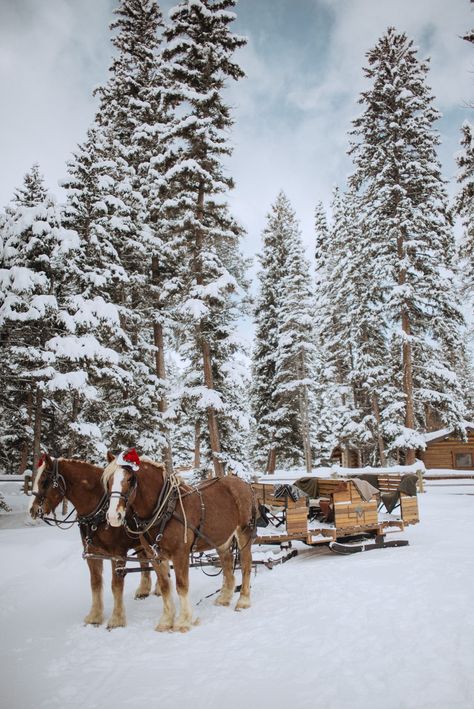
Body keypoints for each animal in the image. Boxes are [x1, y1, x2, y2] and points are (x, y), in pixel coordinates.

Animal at [28, 454, 165, 624]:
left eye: (44, 480)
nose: (32, 510)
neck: (99, 511)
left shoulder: (117, 554)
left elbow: (116, 585)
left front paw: (116, 619)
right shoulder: (92, 554)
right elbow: (95, 583)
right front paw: (95, 616)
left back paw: (158, 588)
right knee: (145, 560)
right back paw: (144, 590)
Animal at [101, 450, 254, 632]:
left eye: (130, 479)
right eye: (109, 480)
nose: (113, 516)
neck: (165, 510)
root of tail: (242, 483)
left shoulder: (180, 554)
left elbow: (181, 586)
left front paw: (183, 621)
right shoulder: (156, 556)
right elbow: (165, 587)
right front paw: (166, 621)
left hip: (243, 532)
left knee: (246, 564)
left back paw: (243, 600)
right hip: (221, 538)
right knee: (227, 562)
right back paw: (224, 597)